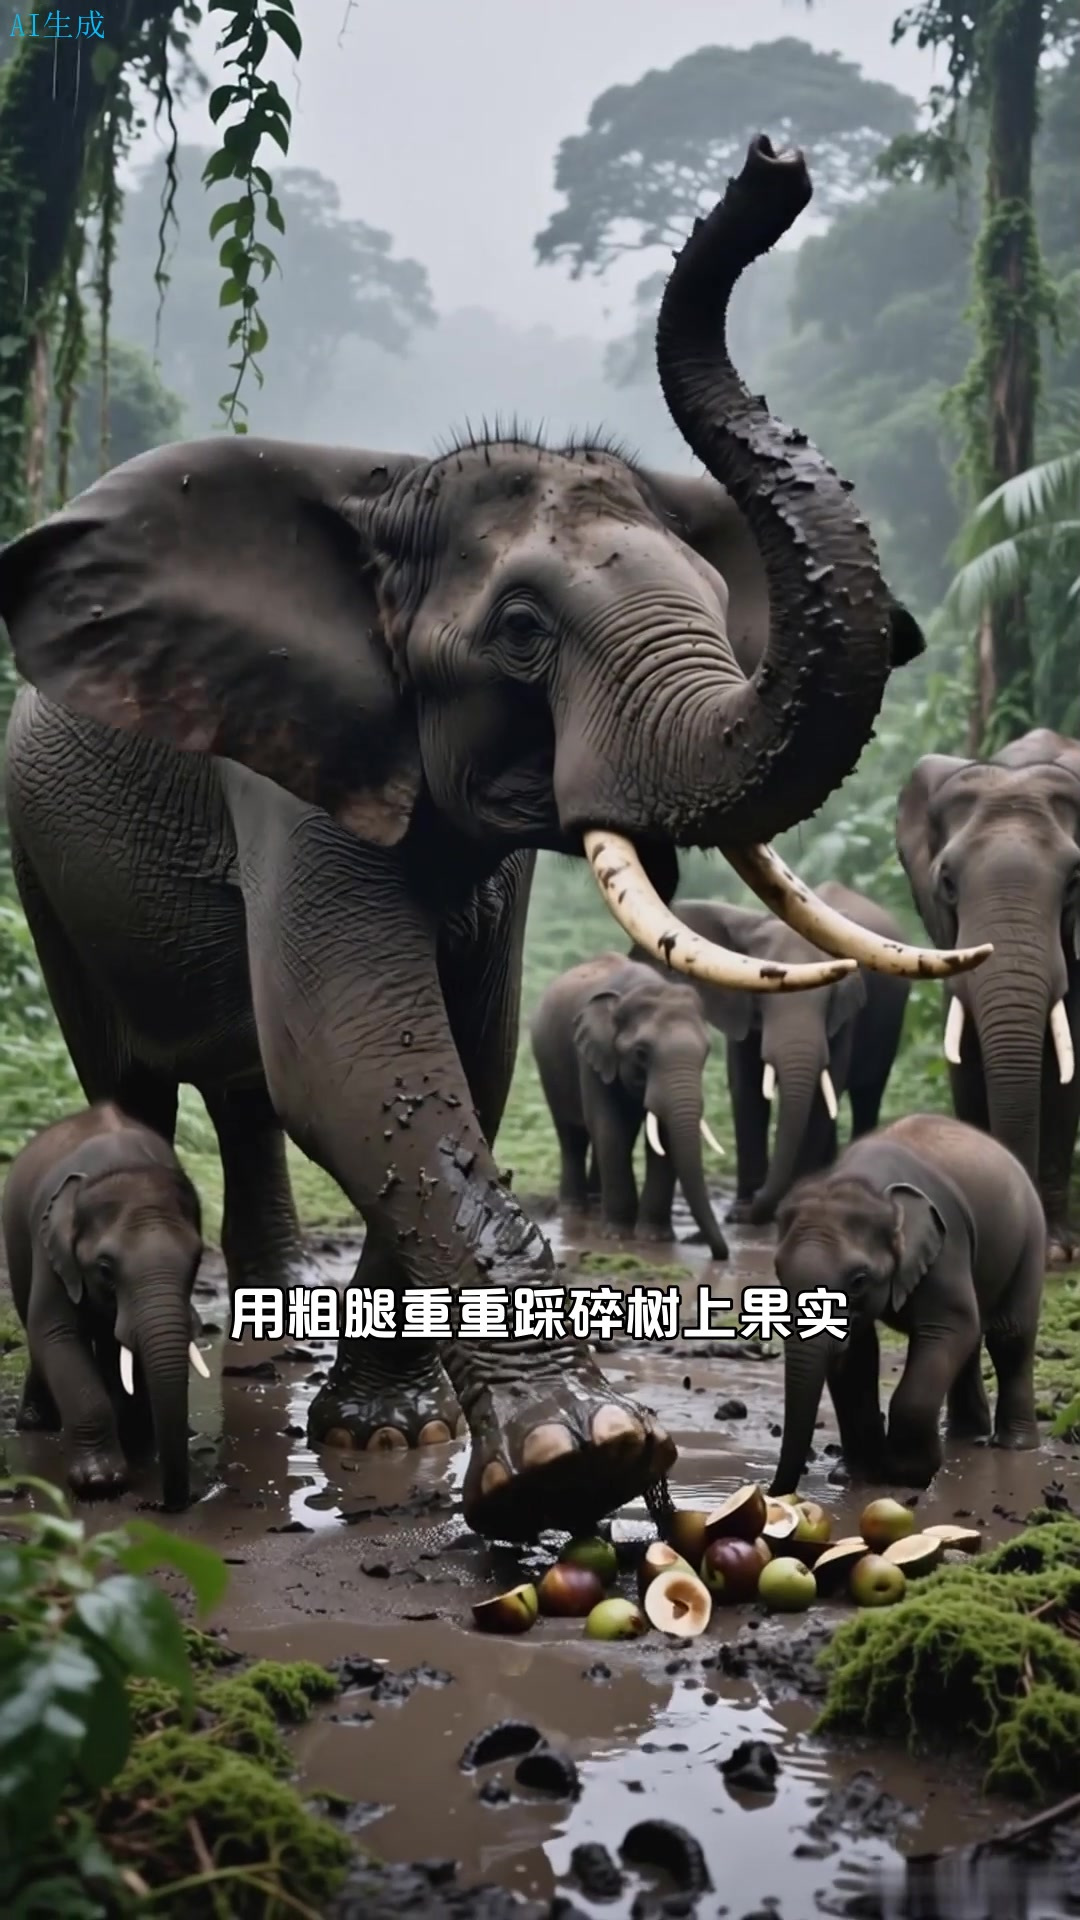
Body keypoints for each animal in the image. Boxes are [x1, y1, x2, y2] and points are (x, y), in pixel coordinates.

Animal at [2, 1102, 206, 1506]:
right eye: (105, 1269)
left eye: (197, 1260)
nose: (173, 1503)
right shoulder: (49, 1245)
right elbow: (56, 1334)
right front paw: (100, 1481)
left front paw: (144, 1453)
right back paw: (35, 1423)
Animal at [530, 953, 729, 1258]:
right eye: (641, 1053)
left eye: (706, 1052)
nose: (721, 1254)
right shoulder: (591, 1055)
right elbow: (609, 1129)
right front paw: (617, 1235)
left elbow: (659, 1137)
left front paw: (655, 1238)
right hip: (548, 1065)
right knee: (572, 1135)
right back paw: (574, 1210)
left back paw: (596, 1203)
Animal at [633, 885, 911, 1223]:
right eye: (761, 992)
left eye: (829, 997)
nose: (753, 1206)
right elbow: (747, 1092)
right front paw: (741, 1212)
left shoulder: (846, 1017)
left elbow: (823, 1092)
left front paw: (789, 1202)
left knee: (867, 1096)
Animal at [769, 1112, 1045, 1496]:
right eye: (779, 1273)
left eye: (859, 1280)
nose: (774, 1492)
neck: (868, 1186)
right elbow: (857, 1355)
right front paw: (855, 1475)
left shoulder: (946, 1243)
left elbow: (950, 1326)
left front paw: (907, 1474)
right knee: (972, 1342)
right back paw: (965, 1436)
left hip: (1029, 1237)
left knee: (1009, 1336)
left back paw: (1013, 1445)